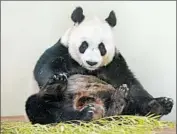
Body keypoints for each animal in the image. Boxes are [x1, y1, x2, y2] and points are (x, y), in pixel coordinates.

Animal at [25, 6, 174, 124]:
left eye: (102, 47)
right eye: (84, 45)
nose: (92, 62)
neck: (88, 69)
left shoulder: (114, 64)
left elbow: (130, 83)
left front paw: (156, 104)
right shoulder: (61, 51)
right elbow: (44, 69)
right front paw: (57, 78)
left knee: (129, 107)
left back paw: (157, 105)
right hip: (54, 104)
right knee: (43, 107)